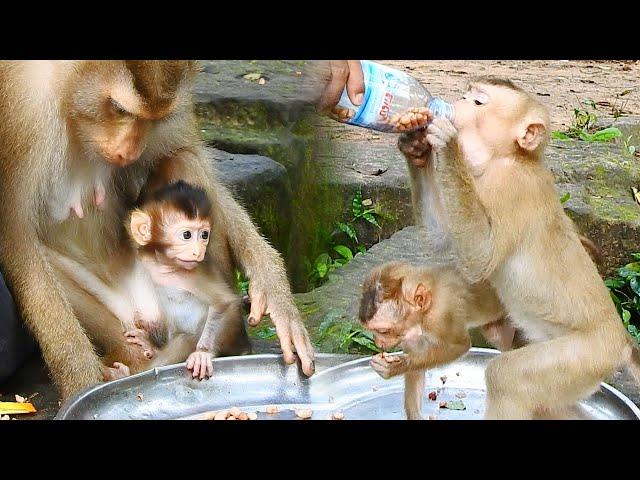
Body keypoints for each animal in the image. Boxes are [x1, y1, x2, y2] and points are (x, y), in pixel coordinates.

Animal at [0, 59, 312, 398]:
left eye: (153, 119)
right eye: (119, 109)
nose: (128, 152)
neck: (67, 95)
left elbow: (186, 153)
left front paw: (273, 288)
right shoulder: (22, 113)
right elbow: (17, 235)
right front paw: (82, 385)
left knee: (185, 160)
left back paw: (221, 345)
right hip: (120, 318)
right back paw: (135, 361)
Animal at [398, 77, 640, 418]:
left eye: (478, 102)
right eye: (467, 96)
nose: (457, 102)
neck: (503, 160)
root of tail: (621, 340)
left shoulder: (511, 186)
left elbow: (480, 257)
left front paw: (446, 142)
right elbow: (443, 236)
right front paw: (414, 146)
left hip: (584, 356)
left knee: (507, 378)